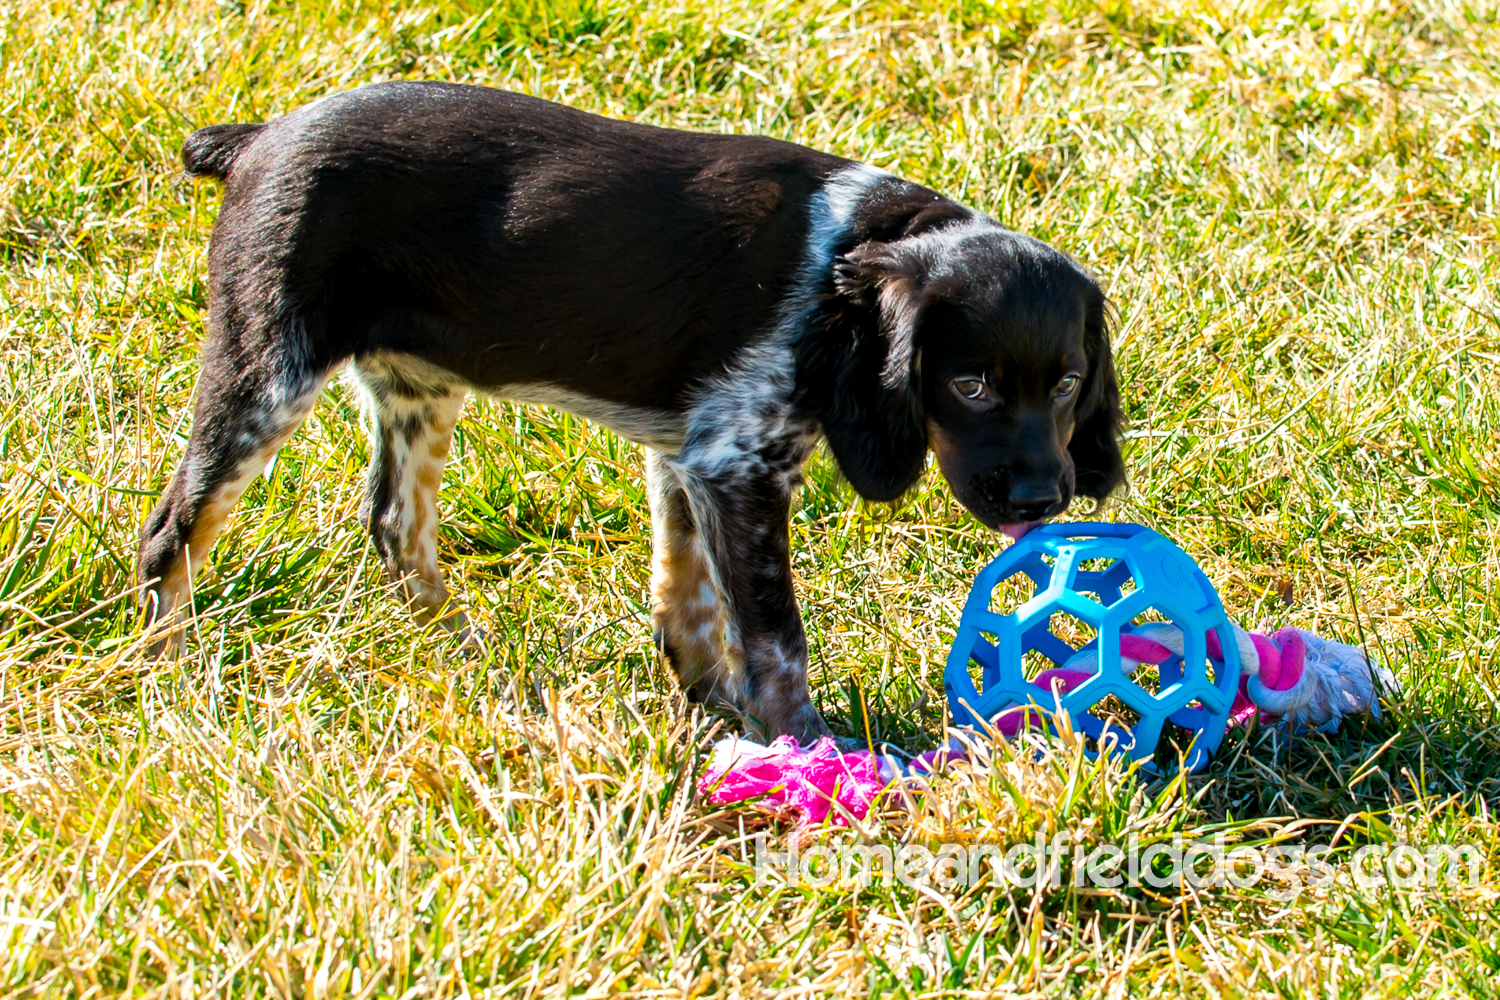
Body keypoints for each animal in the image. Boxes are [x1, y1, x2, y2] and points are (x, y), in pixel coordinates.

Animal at [141, 83, 1122, 743]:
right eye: (970, 386)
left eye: (1068, 383)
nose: (1042, 502)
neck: (853, 254)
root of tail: (258, 139)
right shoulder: (737, 463)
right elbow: (775, 635)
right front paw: (806, 747)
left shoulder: (689, 455)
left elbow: (688, 598)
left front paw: (709, 700)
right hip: (265, 369)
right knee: (172, 527)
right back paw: (167, 674)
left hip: (417, 388)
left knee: (393, 521)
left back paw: (467, 650)